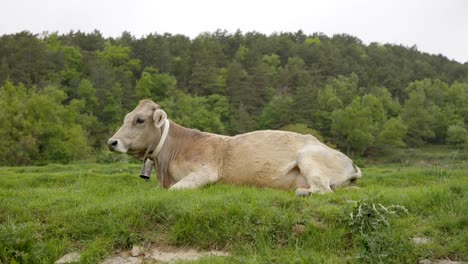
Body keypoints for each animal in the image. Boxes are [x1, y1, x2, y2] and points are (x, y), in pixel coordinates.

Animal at [109, 99, 362, 194]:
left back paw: (301, 192)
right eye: (126, 117)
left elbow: (174, 191)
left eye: (139, 120)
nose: (112, 142)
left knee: (323, 189)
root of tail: (351, 163)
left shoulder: (206, 171)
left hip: (308, 157)